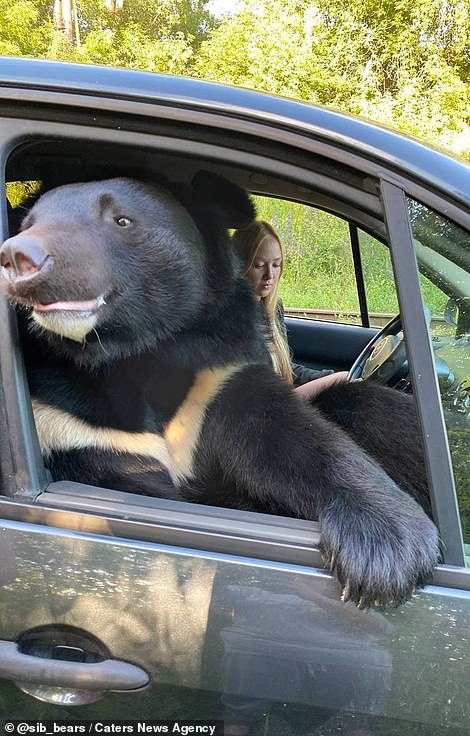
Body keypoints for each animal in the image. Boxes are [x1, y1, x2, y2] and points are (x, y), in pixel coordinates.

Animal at [0, 174, 438, 608]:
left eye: (121, 220)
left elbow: (287, 437)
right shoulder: (63, 424)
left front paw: (388, 548)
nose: (20, 257)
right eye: (27, 225)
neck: (128, 354)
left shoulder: (215, 377)